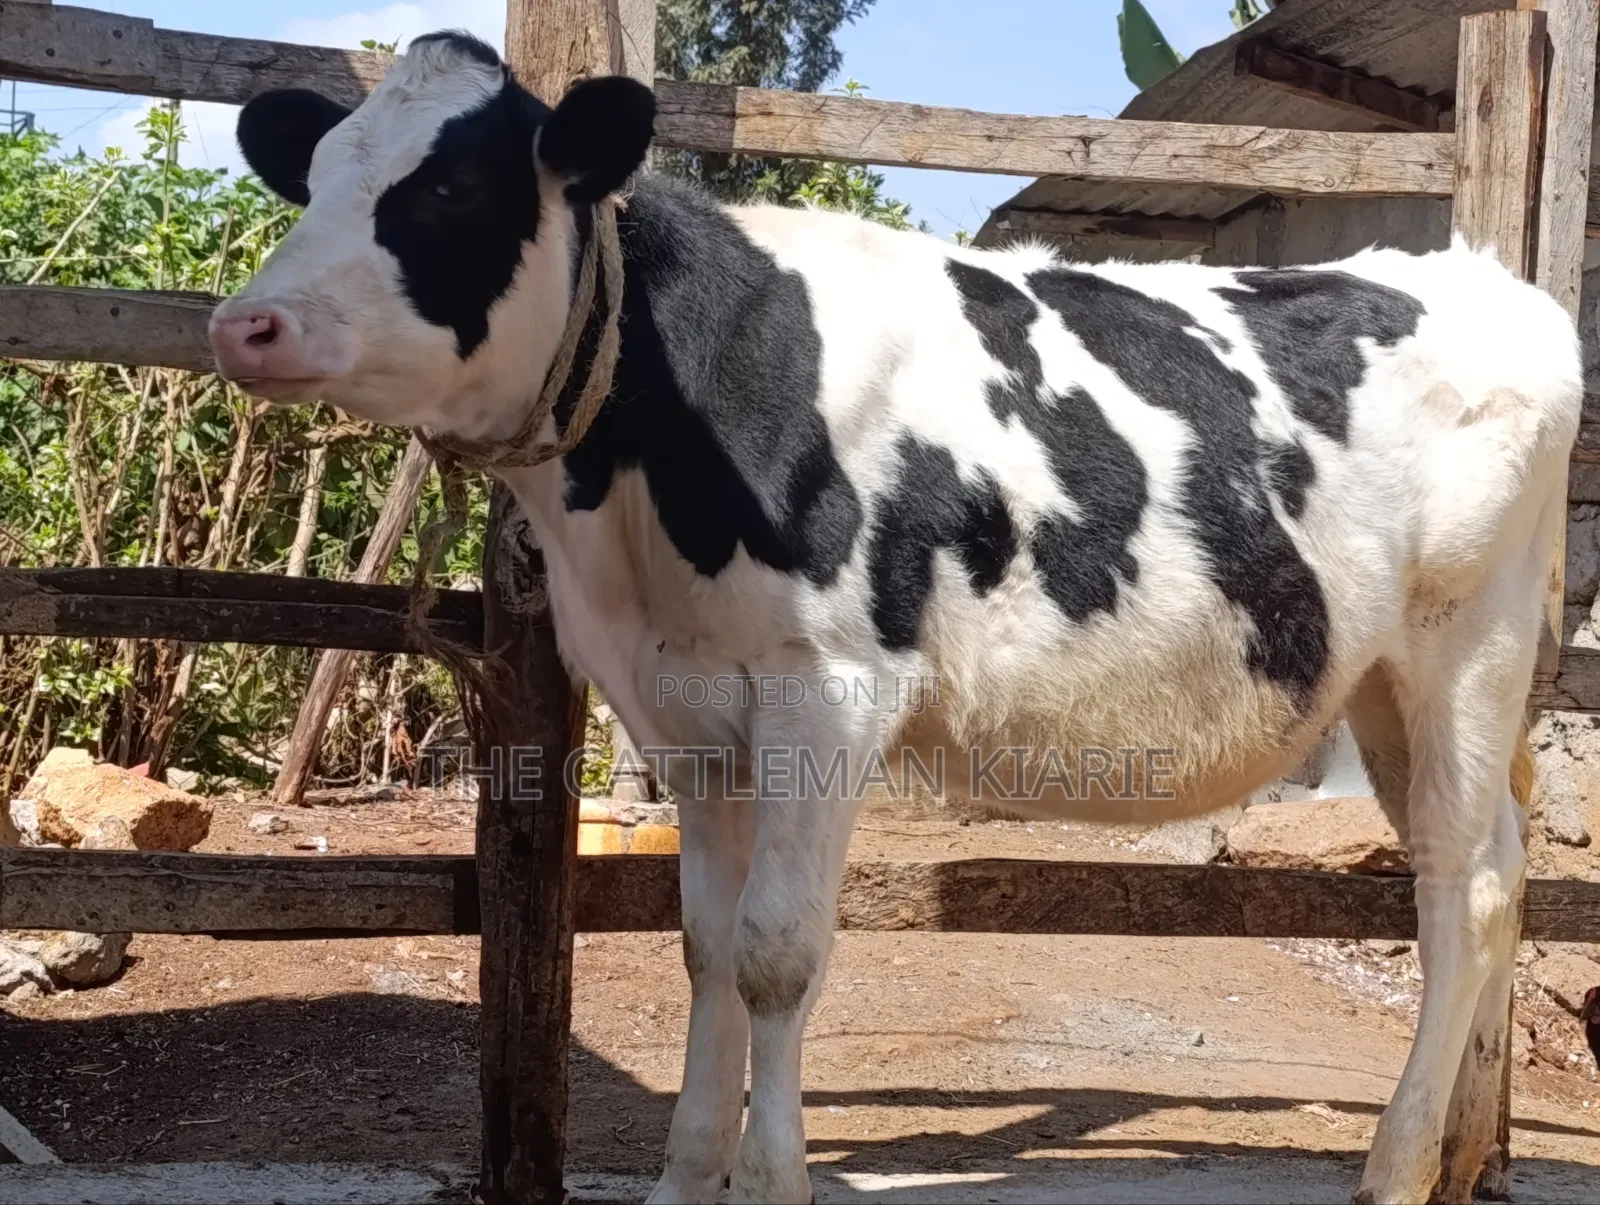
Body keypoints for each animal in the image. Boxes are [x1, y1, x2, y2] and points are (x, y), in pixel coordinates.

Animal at [208, 33, 1580, 1205]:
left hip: (1467, 646)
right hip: (1382, 682)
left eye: (451, 190)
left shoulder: (828, 687)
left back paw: (1396, 1167)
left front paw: (769, 1182)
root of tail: (1484, 278)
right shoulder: (684, 707)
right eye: (314, 177)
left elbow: (774, 951)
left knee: (1464, 888)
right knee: (1491, 865)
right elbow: (703, 944)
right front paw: (684, 1177)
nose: (242, 322)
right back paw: (1461, 1154)